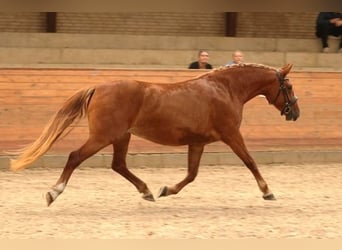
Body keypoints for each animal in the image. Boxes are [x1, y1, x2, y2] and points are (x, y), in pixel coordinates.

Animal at [10, 63, 300, 206]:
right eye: (288, 86)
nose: (295, 113)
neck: (225, 89)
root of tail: (98, 87)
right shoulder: (231, 135)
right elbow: (250, 162)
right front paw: (267, 192)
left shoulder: (197, 142)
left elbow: (191, 175)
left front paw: (166, 190)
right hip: (103, 136)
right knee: (75, 156)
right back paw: (53, 192)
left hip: (121, 136)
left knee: (119, 165)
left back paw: (147, 191)